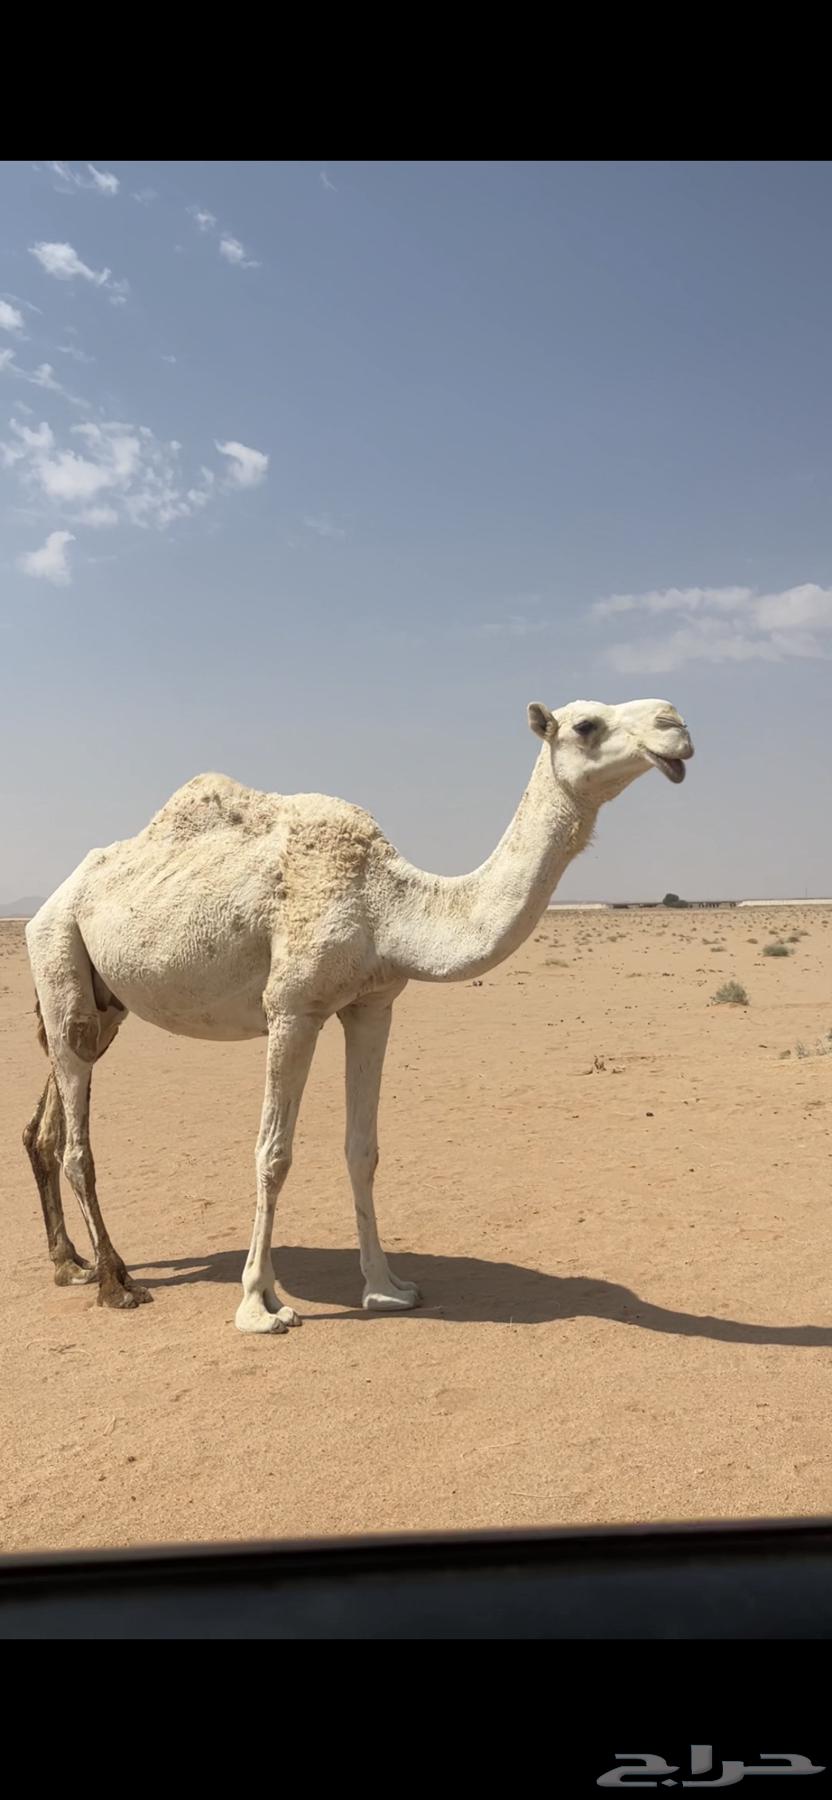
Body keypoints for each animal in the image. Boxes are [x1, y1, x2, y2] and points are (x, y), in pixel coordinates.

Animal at [23, 696, 693, 1333]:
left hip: (102, 1004)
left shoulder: (373, 1005)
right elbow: (273, 1154)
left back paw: (70, 1264)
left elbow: (362, 1148)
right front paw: (259, 1305)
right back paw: (117, 1282)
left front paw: (386, 1288)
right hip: (59, 952)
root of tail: (49, 901)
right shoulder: (293, 1007)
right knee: (79, 1142)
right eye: (585, 725)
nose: (676, 724)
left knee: (47, 1123)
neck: (388, 904)